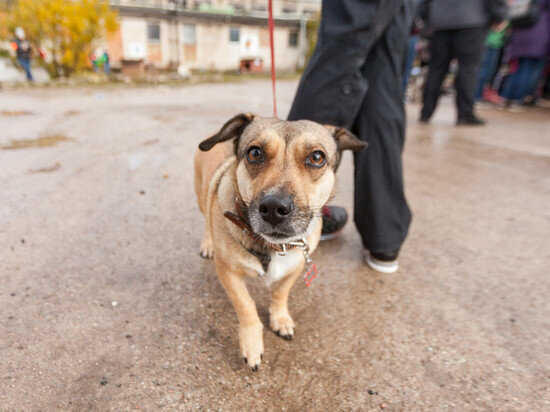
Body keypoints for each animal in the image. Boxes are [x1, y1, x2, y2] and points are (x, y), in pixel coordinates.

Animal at [194, 112, 366, 370]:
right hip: (200, 196)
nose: (274, 208)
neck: (272, 246)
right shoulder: (228, 272)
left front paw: (280, 319)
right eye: (255, 153)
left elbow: (280, 294)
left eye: (317, 157)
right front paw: (252, 344)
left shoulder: (294, 268)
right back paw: (207, 243)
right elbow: (246, 306)